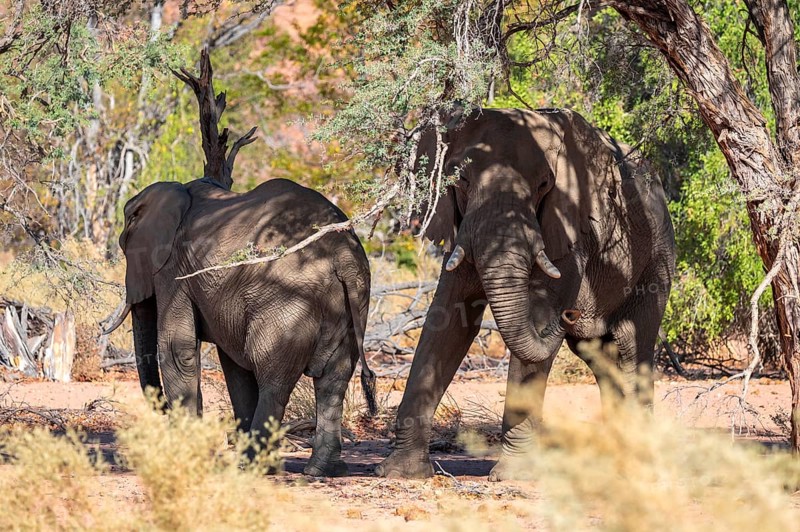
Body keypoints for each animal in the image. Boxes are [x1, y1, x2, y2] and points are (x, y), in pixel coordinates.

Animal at [105, 176, 376, 477]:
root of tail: (344, 256)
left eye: (124, 246)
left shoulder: (173, 272)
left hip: (285, 305)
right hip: (352, 302)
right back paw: (321, 470)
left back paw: (253, 466)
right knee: (333, 380)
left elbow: (178, 349)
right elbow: (235, 366)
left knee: (274, 380)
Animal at [376, 106, 676, 480]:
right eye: (462, 180)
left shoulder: (570, 230)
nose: (571, 312)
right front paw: (400, 472)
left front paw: (513, 475)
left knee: (634, 348)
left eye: (544, 184)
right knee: (601, 356)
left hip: (656, 258)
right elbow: (449, 320)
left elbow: (536, 315)